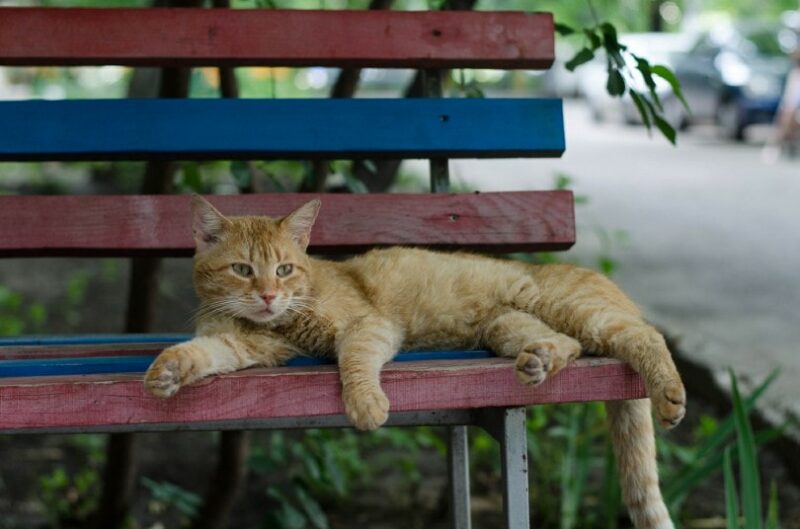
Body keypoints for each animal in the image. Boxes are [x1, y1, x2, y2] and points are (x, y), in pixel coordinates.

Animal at [145, 196, 688, 528]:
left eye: (283, 269)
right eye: (242, 270)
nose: (268, 296)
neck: (275, 323)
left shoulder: (369, 327)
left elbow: (354, 360)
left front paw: (365, 404)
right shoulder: (244, 348)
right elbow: (202, 353)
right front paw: (168, 370)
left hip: (575, 310)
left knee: (645, 335)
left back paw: (669, 396)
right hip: (509, 327)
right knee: (565, 344)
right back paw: (539, 361)